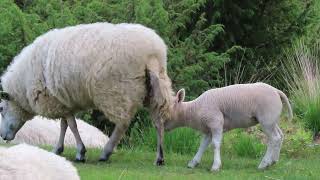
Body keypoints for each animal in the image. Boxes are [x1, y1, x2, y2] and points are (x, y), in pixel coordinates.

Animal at [162, 83, 292, 172]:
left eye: (167, 108)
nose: (161, 126)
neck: (193, 110)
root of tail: (276, 91)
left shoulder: (216, 122)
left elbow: (215, 144)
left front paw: (215, 166)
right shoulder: (208, 129)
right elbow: (203, 146)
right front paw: (193, 163)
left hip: (266, 119)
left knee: (273, 139)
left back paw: (264, 164)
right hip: (272, 120)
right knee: (280, 136)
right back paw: (273, 161)